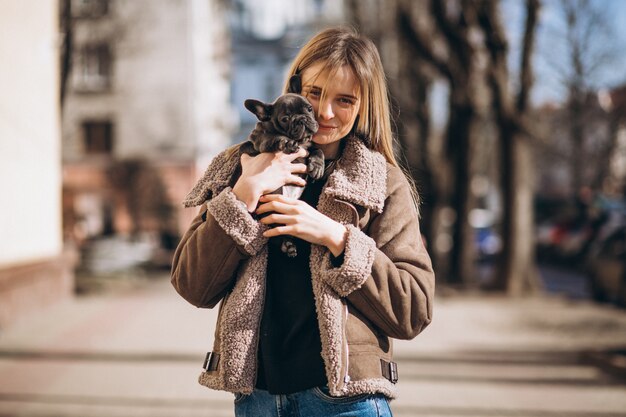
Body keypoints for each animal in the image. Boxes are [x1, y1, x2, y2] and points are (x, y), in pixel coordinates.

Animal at [239, 76, 324, 255]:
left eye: (309, 108)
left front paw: (318, 166)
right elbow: (275, 138)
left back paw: (289, 244)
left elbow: (318, 149)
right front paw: (287, 143)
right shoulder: (261, 140)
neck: (301, 141)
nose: (301, 119)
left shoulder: (310, 146)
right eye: (285, 119)